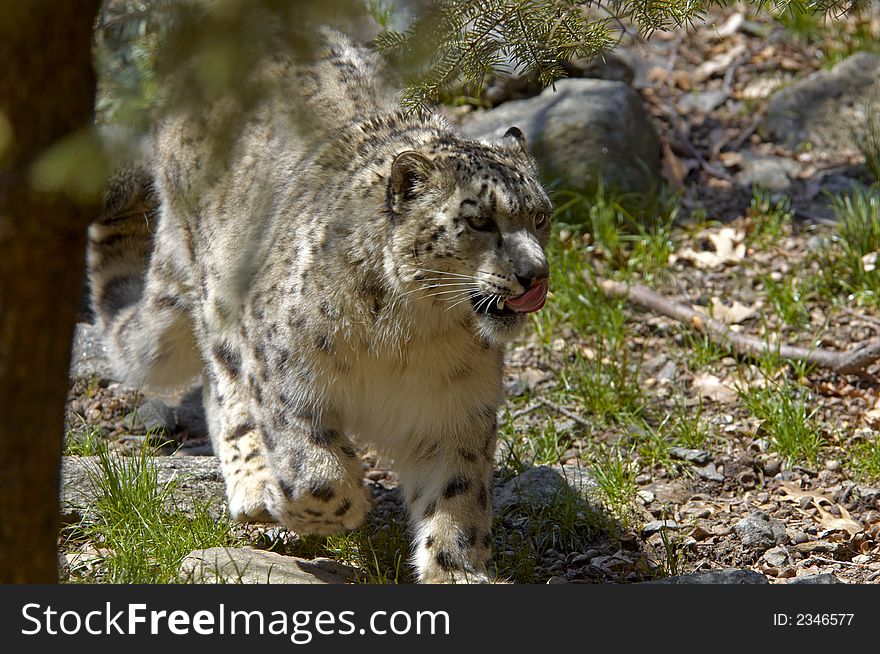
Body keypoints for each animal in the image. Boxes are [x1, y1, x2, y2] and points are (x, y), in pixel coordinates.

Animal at [91, 29, 556, 584]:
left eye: (542, 217)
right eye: (480, 220)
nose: (536, 274)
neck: (415, 333)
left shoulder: (456, 412)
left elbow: (456, 497)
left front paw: (454, 570)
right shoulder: (288, 374)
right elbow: (317, 473)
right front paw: (311, 504)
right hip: (218, 292)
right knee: (223, 386)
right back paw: (253, 483)